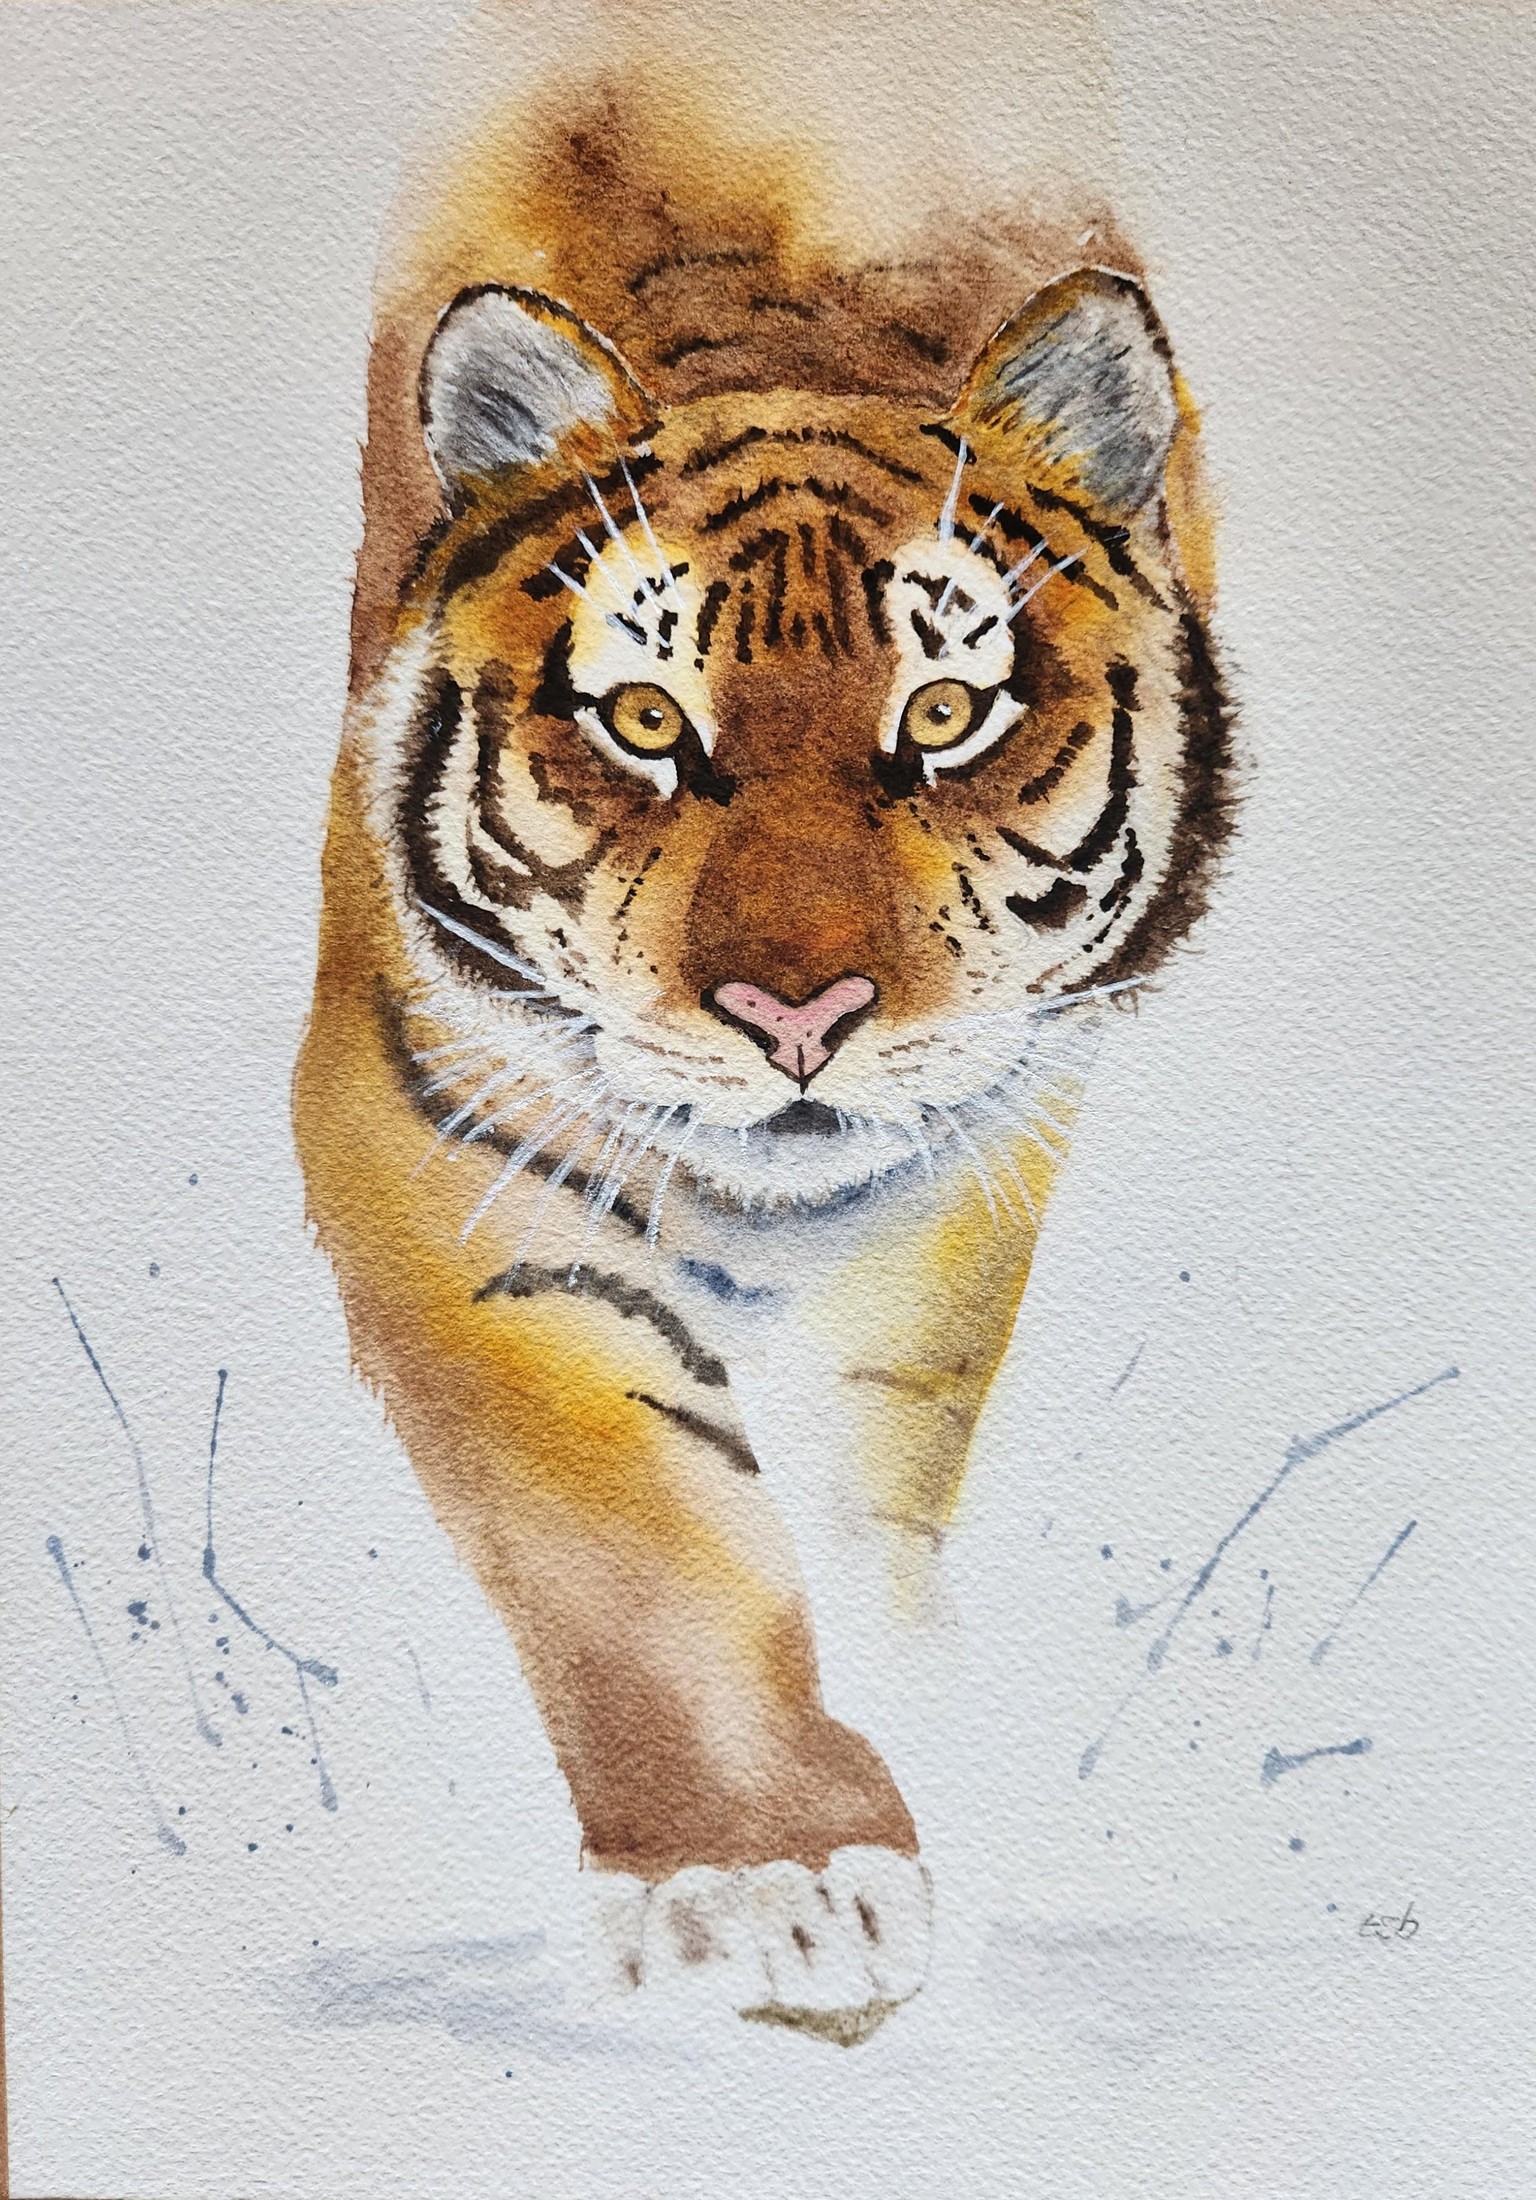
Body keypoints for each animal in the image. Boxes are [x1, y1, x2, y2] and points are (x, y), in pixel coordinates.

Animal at [293, 1, 1232, 2045]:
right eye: (648, 723)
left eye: (947, 714)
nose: (795, 1012)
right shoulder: (437, 1129)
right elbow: (642, 1535)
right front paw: (766, 1876)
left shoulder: (970, 1146)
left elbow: (871, 1456)